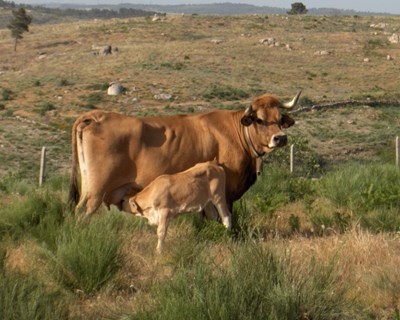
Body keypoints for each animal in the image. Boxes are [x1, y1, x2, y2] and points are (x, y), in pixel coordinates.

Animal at [69, 91, 300, 219]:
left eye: (280, 117)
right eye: (259, 119)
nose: (280, 138)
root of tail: (97, 116)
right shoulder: (225, 191)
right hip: (95, 190)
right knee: (81, 212)